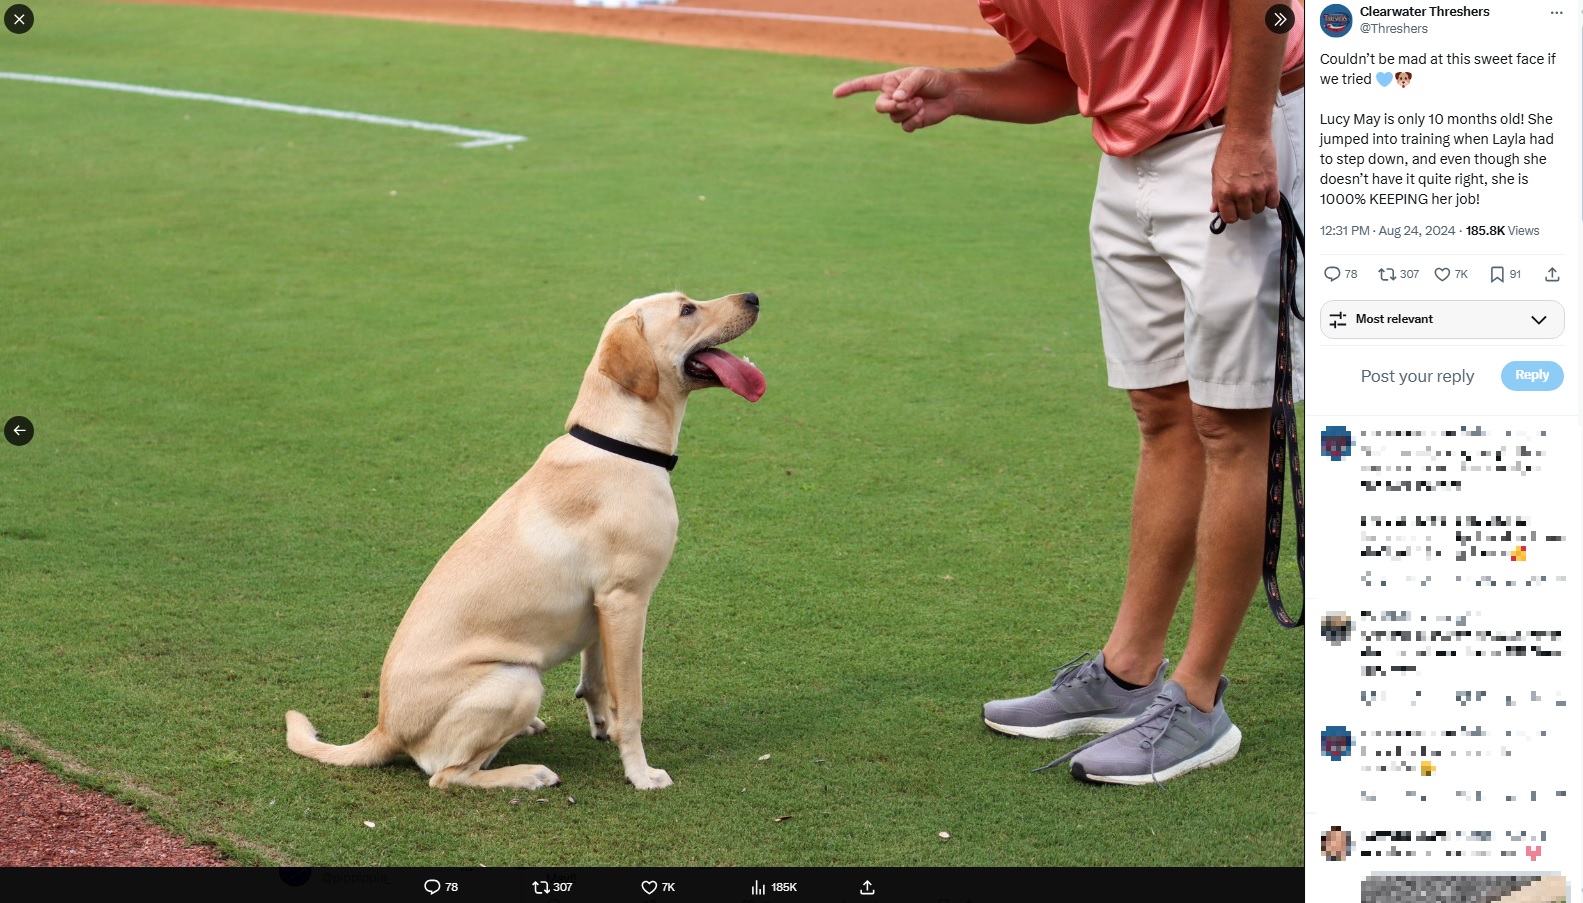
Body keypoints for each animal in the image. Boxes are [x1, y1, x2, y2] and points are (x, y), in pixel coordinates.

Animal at [294, 289, 769, 785]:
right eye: (687, 309)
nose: (754, 296)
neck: (620, 443)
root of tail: (385, 728)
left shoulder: (602, 607)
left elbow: (596, 682)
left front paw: (604, 727)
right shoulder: (627, 601)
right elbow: (633, 705)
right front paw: (640, 774)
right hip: (517, 679)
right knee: (447, 775)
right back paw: (528, 773)